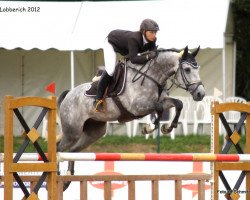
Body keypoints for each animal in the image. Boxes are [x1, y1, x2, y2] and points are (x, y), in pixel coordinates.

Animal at [56, 46, 205, 189]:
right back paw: (58, 176)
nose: (201, 94)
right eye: (187, 69)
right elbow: (159, 109)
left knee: (72, 151)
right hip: (73, 132)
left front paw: (167, 127)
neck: (152, 76)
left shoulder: (162, 101)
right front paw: (149, 128)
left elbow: (178, 104)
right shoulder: (137, 107)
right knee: (59, 149)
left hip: (94, 132)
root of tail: (69, 93)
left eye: (198, 69)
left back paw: (67, 179)